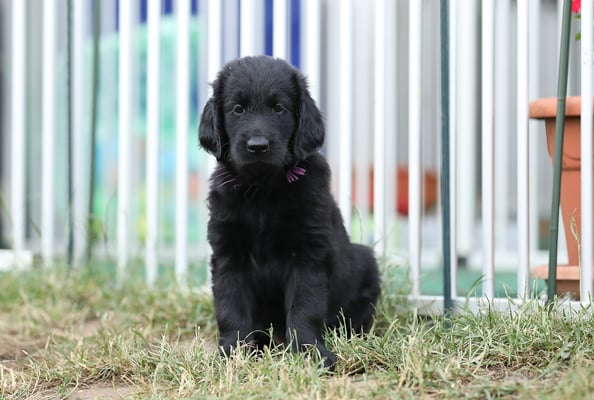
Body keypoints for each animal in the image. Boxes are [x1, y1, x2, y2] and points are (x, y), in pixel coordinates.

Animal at [198, 56, 380, 369]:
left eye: (279, 108)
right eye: (237, 109)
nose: (257, 146)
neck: (262, 189)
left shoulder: (307, 255)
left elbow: (304, 308)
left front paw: (310, 353)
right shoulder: (228, 254)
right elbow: (231, 309)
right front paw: (233, 353)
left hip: (366, 262)